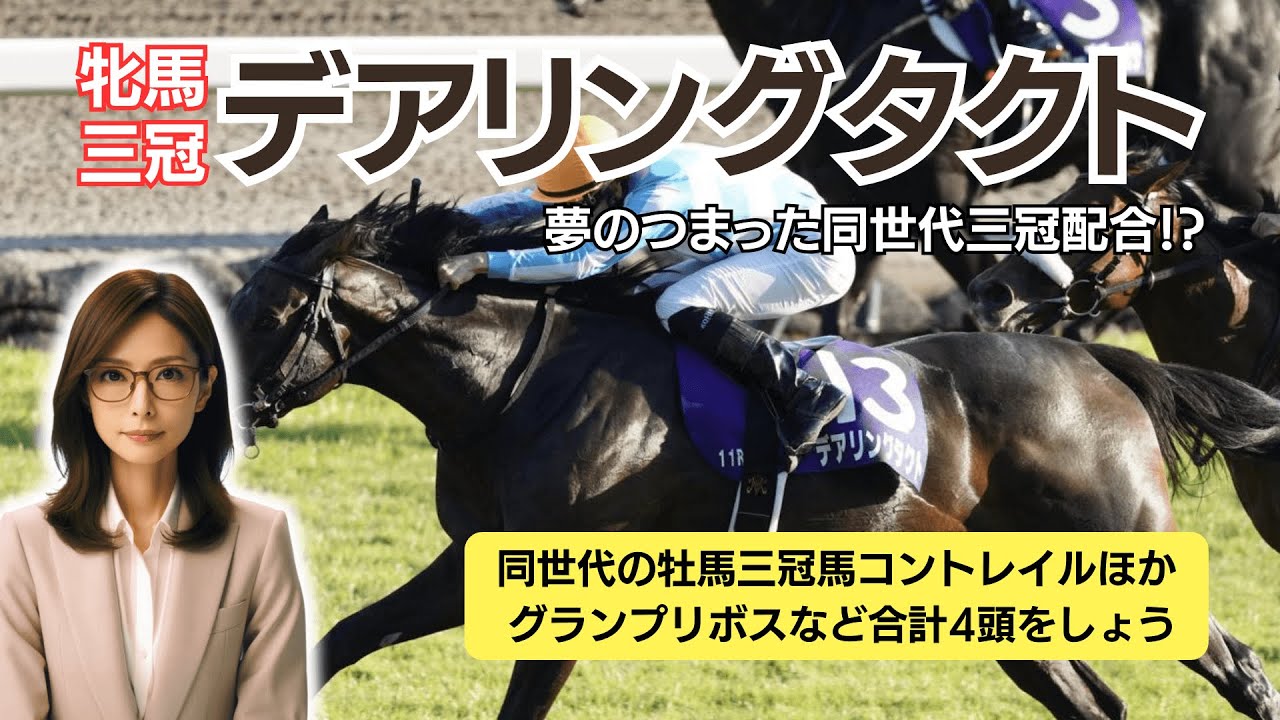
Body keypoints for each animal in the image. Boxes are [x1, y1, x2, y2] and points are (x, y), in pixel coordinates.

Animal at [228, 195, 1280, 719]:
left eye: (269, 316)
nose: (217, 409)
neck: (512, 383)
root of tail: (1096, 359)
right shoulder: (475, 559)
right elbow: (341, 638)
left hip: (1125, 548)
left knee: (1234, 665)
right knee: (1091, 700)